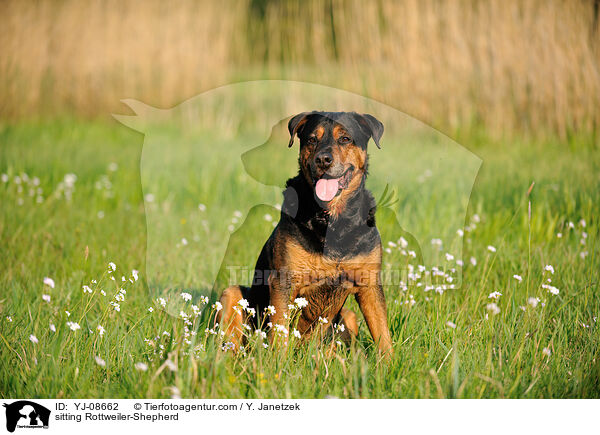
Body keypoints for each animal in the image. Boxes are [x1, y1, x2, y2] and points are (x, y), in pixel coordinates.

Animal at [218, 110, 392, 356]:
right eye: (311, 140)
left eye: (345, 139)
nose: (323, 160)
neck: (332, 219)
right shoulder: (284, 280)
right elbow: (279, 332)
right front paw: (277, 362)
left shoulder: (369, 285)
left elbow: (383, 334)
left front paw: (389, 363)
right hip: (232, 294)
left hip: (348, 316)